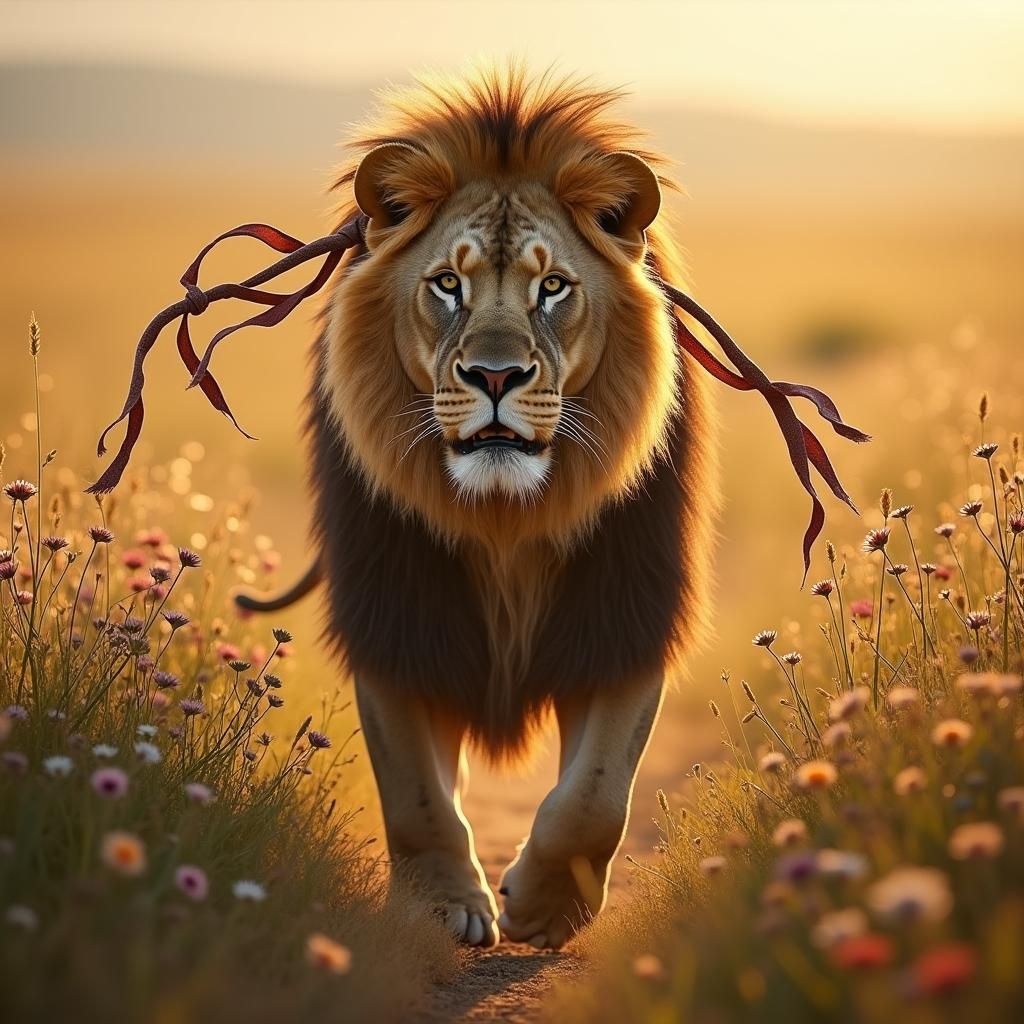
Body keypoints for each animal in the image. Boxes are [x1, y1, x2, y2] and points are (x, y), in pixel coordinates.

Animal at [239, 65, 716, 950]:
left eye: (553, 287)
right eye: (447, 285)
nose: (496, 376)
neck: (506, 519)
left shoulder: (625, 615)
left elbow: (597, 795)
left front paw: (545, 905)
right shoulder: (401, 620)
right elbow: (418, 798)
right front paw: (443, 906)